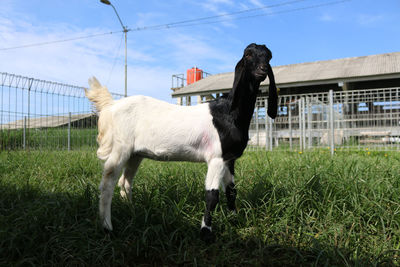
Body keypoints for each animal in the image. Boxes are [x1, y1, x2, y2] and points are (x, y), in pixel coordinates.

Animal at [85, 43, 276, 241]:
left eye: (268, 56)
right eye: (248, 55)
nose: (262, 70)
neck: (228, 113)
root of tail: (110, 106)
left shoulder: (228, 158)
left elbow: (231, 191)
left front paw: (234, 220)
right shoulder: (216, 157)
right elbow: (212, 195)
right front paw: (206, 233)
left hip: (135, 154)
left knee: (125, 181)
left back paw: (131, 211)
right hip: (120, 147)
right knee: (108, 184)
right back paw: (107, 227)